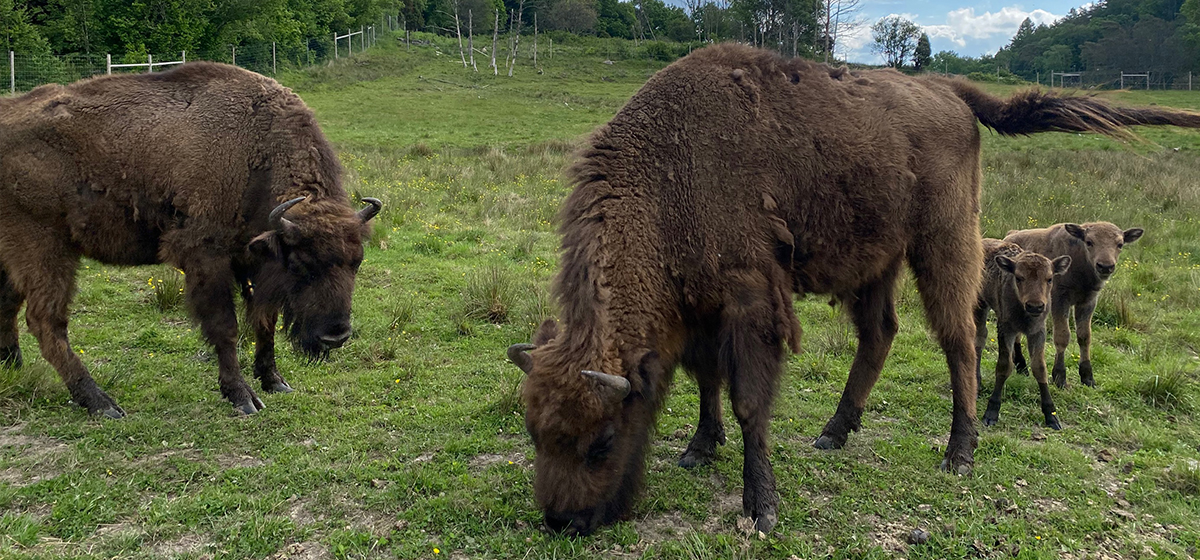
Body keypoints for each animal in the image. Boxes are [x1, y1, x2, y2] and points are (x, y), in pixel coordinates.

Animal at [0, 62, 379, 417]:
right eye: (300, 264)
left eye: (357, 262)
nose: (336, 335)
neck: (255, 149)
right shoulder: (206, 256)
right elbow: (225, 326)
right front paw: (242, 397)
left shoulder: (252, 262)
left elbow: (264, 321)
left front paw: (274, 381)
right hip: (45, 247)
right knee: (45, 320)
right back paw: (101, 403)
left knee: (9, 301)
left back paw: (11, 366)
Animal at [507, 44, 1200, 535]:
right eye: (535, 431)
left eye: (600, 443)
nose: (562, 521)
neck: (671, 170)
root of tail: (950, 91)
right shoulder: (701, 305)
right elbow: (707, 379)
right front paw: (699, 449)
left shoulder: (752, 299)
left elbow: (748, 398)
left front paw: (760, 507)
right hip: (877, 263)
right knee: (880, 334)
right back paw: (835, 431)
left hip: (944, 242)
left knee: (961, 340)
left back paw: (960, 451)